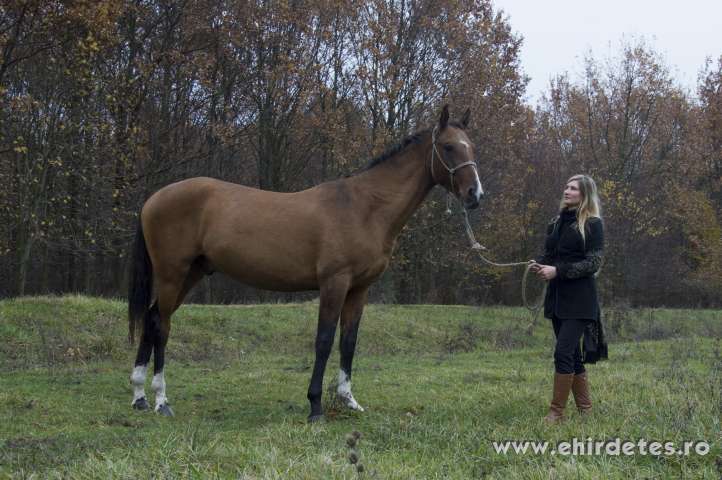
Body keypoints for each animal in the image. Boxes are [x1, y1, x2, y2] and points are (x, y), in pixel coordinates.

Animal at [128, 105, 484, 420]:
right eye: (449, 147)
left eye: (471, 146)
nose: (475, 195)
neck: (365, 207)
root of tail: (154, 198)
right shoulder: (334, 283)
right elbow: (324, 340)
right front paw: (315, 406)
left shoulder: (359, 289)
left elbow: (349, 342)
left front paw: (348, 400)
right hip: (172, 274)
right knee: (162, 326)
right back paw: (161, 400)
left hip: (191, 273)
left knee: (151, 318)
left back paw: (140, 397)